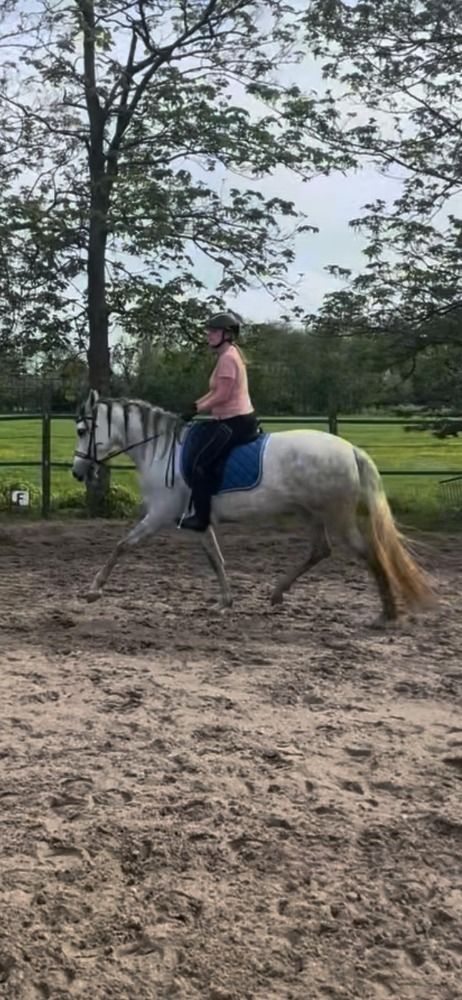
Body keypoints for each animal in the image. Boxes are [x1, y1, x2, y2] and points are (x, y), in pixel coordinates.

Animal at [72, 390, 433, 623]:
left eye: (82, 429)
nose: (77, 472)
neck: (161, 450)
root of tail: (350, 449)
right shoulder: (197, 521)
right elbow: (216, 559)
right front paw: (225, 603)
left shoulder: (159, 515)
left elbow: (123, 545)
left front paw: (93, 591)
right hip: (310, 513)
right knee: (321, 550)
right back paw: (277, 593)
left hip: (337, 516)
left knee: (368, 552)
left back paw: (386, 614)